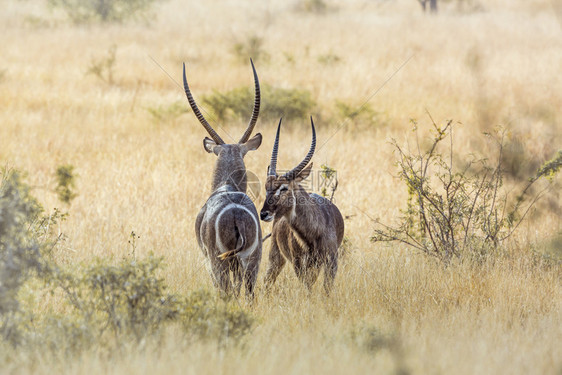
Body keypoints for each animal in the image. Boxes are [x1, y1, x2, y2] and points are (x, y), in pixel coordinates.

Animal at [184, 60, 262, 298]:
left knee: (226, 292)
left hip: (219, 263)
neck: (226, 184)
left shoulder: (209, 262)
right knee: (248, 293)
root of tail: (236, 214)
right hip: (251, 262)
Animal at [258, 117, 342, 294]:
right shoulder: (299, 263)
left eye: (284, 188)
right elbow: (307, 289)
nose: (264, 214)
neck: (313, 234)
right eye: (266, 187)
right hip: (276, 258)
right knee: (267, 282)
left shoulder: (331, 261)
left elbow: (326, 290)